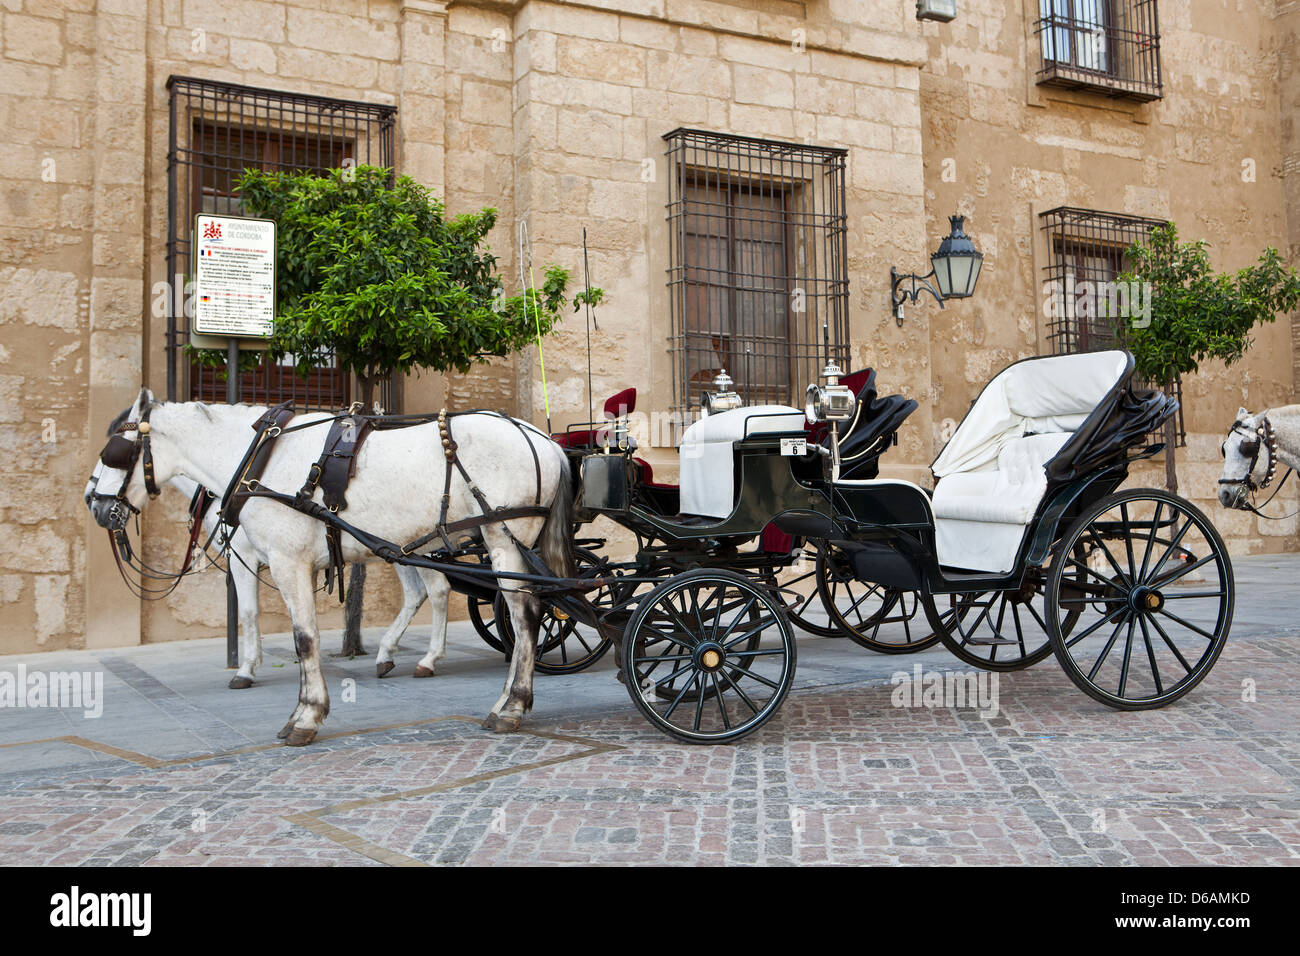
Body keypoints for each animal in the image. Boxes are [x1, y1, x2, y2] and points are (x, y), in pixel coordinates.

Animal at [89, 385, 572, 743]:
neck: (259, 460)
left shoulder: (282, 561)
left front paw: (304, 714)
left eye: (115, 452)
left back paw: (510, 704)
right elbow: (270, 623)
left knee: (525, 615)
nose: (95, 504)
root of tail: (542, 440)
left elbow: (300, 636)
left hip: (503, 537)